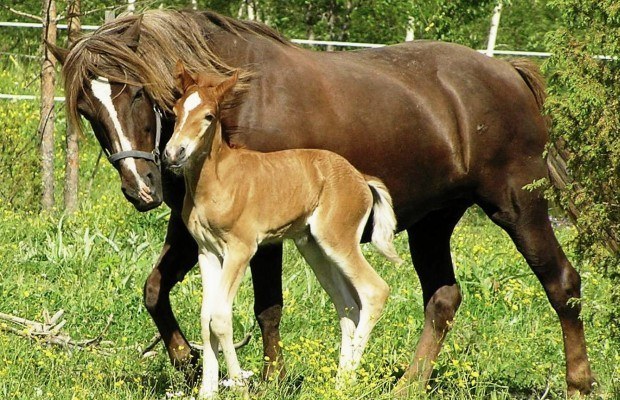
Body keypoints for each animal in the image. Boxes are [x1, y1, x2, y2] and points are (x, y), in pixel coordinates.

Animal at [161, 62, 402, 396]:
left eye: (209, 116)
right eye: (175, 110)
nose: (174, 153)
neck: (216, 181)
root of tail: (360, 177)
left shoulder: (241, 249)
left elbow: (220, 318)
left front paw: (239, 386)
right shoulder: (207, 252)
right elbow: (205, 318)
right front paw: (207, 392)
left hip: (337, 239)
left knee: (374, 290)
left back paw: (347, 383)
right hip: (313, 246)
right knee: (348, 307)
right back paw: (338, 384)